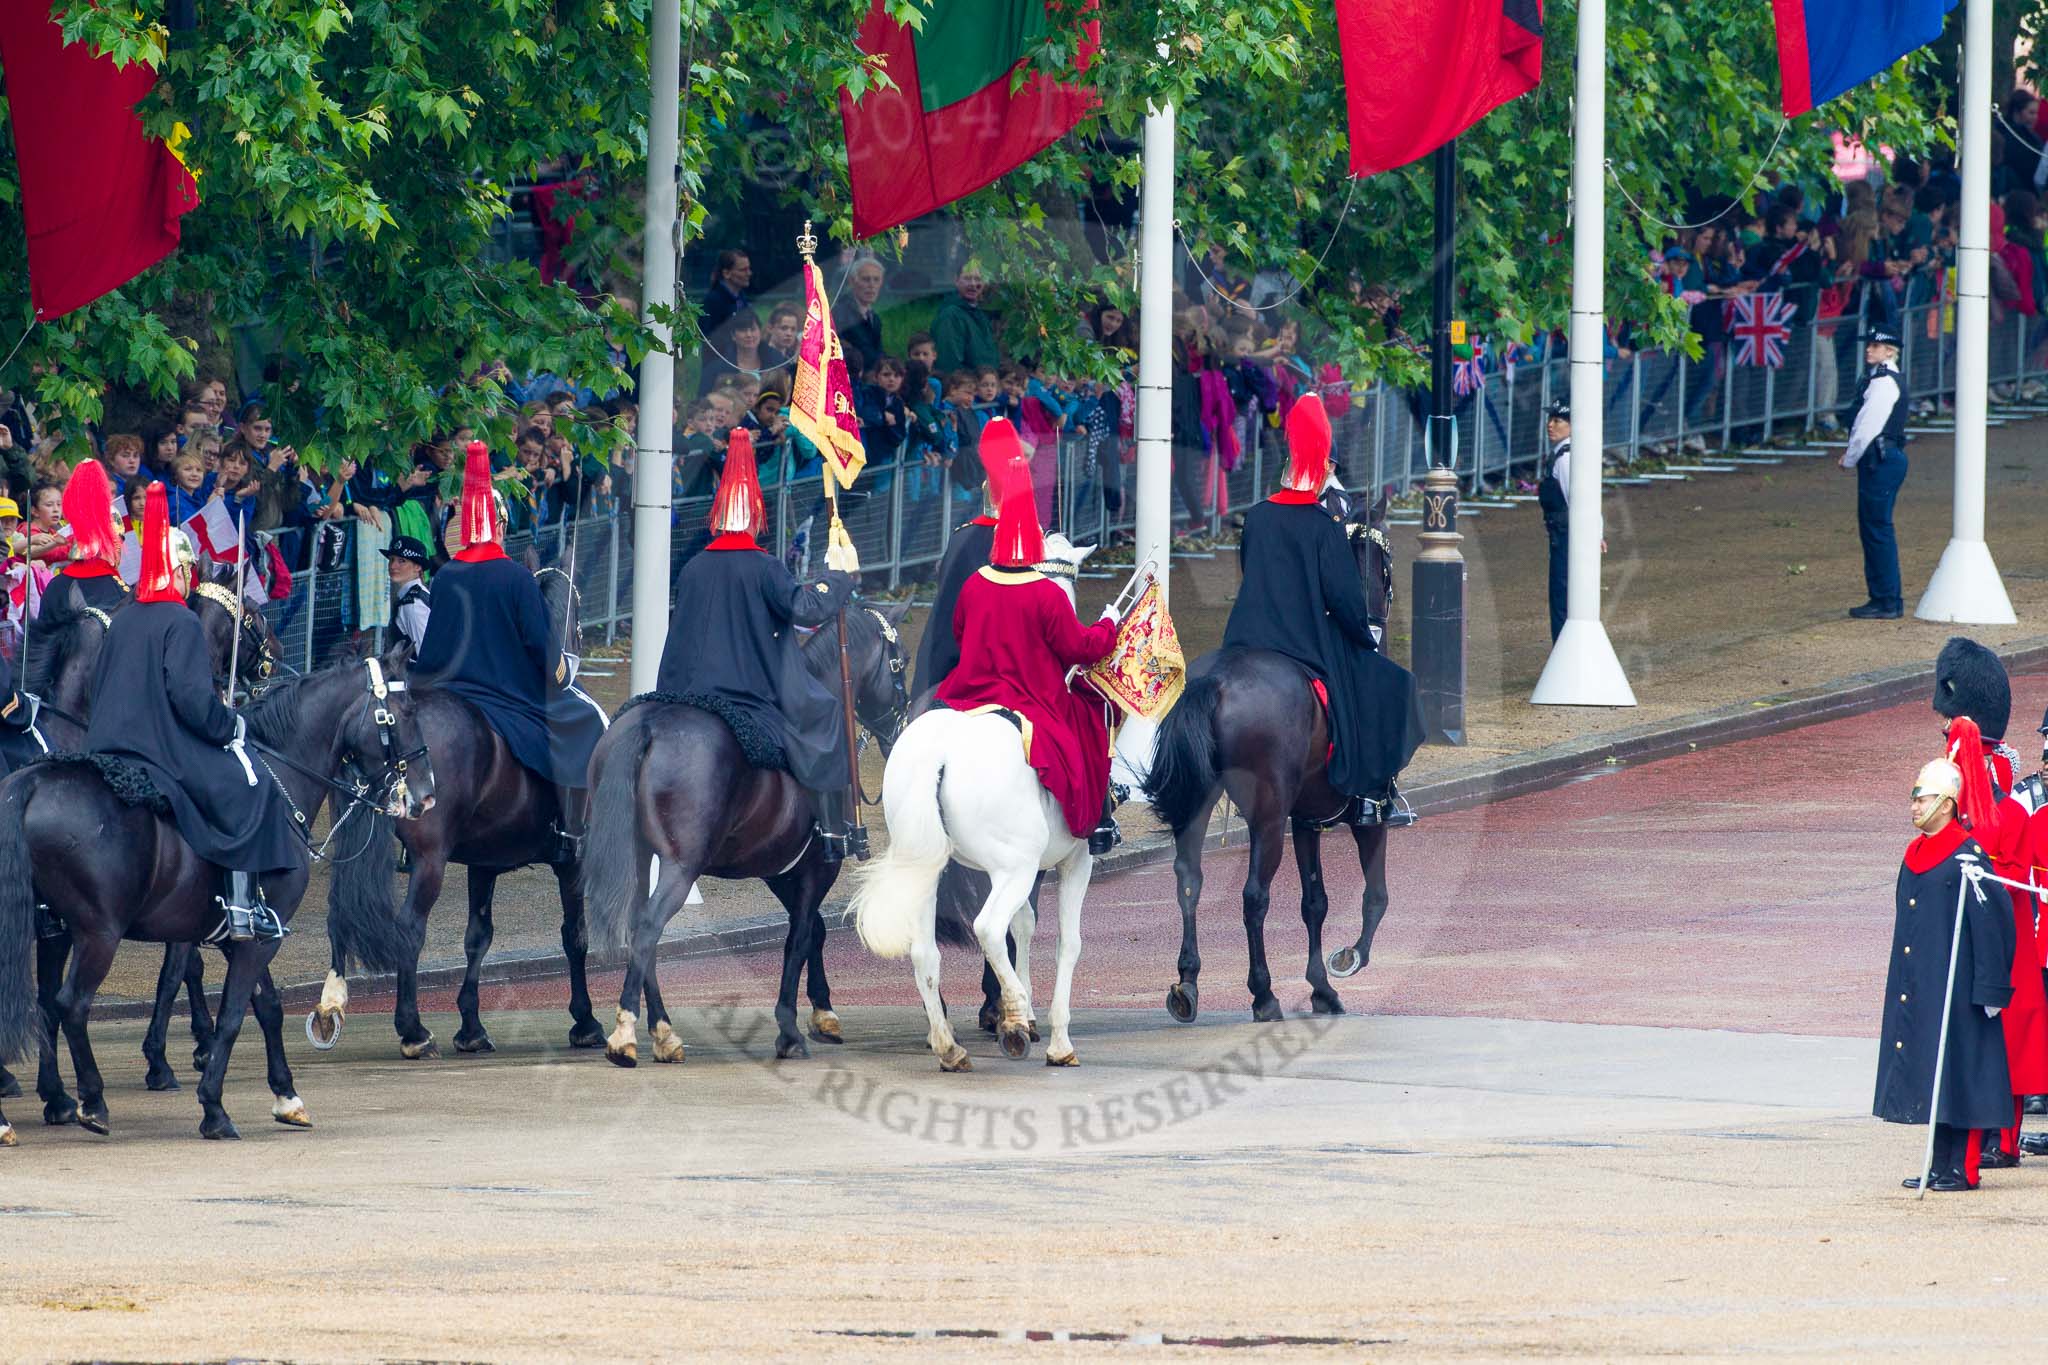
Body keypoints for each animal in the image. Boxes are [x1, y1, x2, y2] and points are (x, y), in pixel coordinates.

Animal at [0, 654, 433, 1143]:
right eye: (405, 712)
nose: (425, 796)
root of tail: (31, 782)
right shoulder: (260, 938)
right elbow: (231, 1015)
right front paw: (213, 1107)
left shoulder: (240, 937)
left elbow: (267, 1008)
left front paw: (287, 1096)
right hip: (97, 933)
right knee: (71, 1004)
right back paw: (91, 1103)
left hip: (52, 930)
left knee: (45, 1006)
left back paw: (45, 1104)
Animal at [314, 567, 605, 1059]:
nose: (576, 653)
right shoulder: (574, 862)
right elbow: (575, 935)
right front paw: (584, 1020)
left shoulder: (482, 862)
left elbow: (478, 938)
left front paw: (471, 1027)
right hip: (430, 860)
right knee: (409, 929)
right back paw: (412, 1030)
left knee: (338, 916)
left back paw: (331, 1005)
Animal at [580, 600, 912, 1066]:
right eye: (902, 663)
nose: (899, 732)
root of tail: (650, 727)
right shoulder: (816, 867)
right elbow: (800, 937)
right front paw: (790, 1030)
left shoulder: (779, 868)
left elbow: (813, 930)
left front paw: (823, 1012)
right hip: (681, 866)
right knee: (647, 928)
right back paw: (630, 1033)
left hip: (641, 856)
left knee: (638, 929)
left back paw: (663, 1032)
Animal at [848, 536, 1102, 1070]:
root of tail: (940, 752)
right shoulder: (1074, 859)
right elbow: (1066, 941)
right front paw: (1052, 1035)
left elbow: (1024, 925)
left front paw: (1023, 1015)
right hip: (1014, 867)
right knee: (986, 926)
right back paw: (1011, 1012)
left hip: (928, 868)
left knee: (926, 952)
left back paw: (949, 1044)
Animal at [1141, 492, 1399, 1024]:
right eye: (1385, 564)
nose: (1384, 614)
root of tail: (1214, 682)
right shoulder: (1364, 813)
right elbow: (1375, 896)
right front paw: (1346, 962)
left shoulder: (1306, 818)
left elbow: (1315, 901)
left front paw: (1322, 987)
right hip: (1268, 816)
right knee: (1254, 897)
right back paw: (1263, 994)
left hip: (1205, 804)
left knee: (1189, 880)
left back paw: (1187, 984)